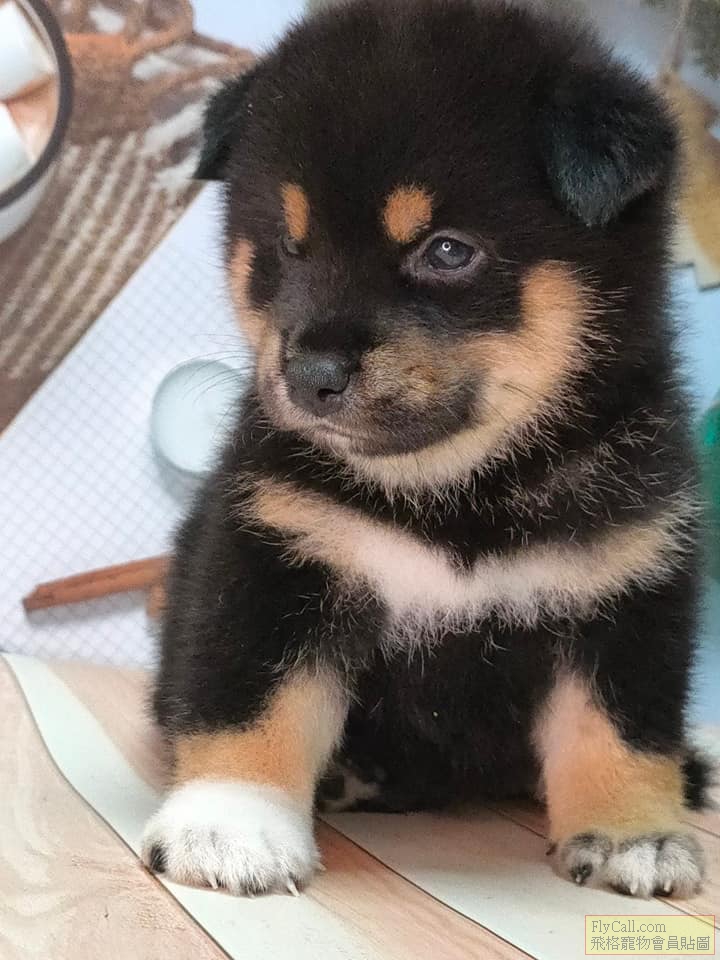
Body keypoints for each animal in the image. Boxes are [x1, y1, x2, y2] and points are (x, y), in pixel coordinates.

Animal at [141, 0, 709, 899]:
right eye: (289, 244)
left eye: (446, 250)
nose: (310, 372)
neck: (457, 490)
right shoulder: (274, 558)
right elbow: (249, 702)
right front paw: (229, 823)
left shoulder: (627, 585)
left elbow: (619, 729)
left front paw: (633, 834)